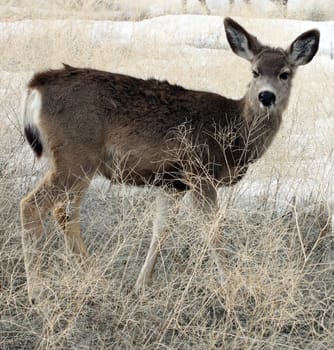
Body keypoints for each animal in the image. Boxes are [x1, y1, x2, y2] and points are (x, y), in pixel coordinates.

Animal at [20, 17, 318, 304]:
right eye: (254, 72)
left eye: (284, 73)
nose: (266, 96)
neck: (233, 132)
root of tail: (36, 86)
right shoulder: (200, 171)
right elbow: (212, 230)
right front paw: (232, 285)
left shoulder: (173, 183)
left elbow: (160, 230)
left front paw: (142, 284)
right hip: (75, 156)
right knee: (33, 206)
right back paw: (38, 292)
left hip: (79, 163)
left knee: (64, 212)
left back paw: (95, 278)